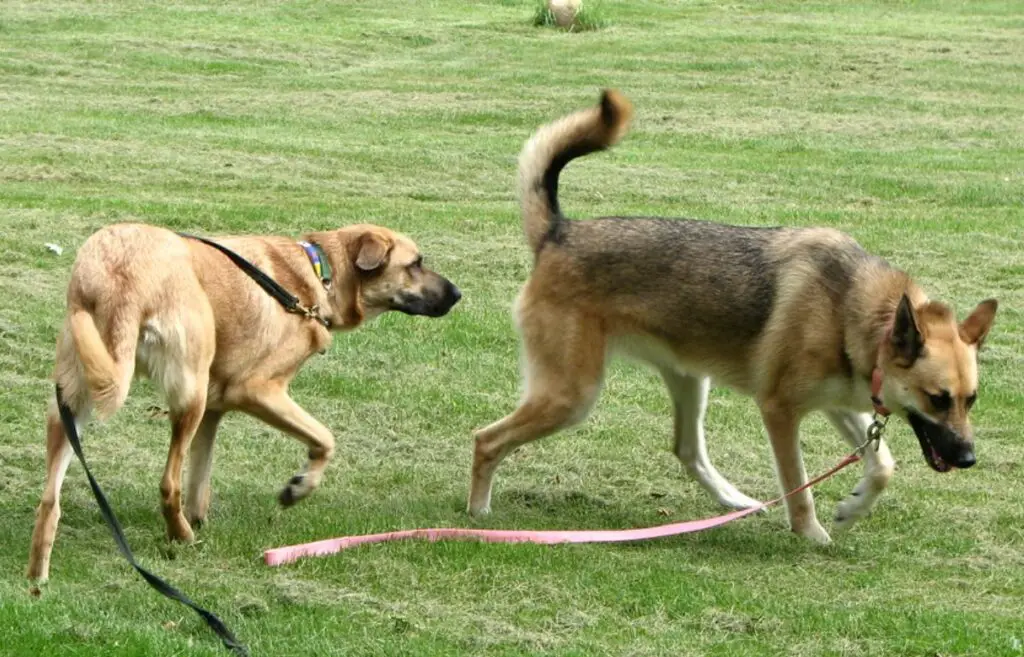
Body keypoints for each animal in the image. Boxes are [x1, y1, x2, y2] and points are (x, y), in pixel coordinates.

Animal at [28, 221, 460, 577]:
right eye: (416, 263)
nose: (458, 294)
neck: (319, 274)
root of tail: (120, 274)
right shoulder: (256, 390)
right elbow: (325, 439)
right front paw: (298, 487)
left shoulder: (214, 409)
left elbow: (201, 478)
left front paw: (201, 515)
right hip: (188, 393)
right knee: (168, 484)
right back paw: (182, 537)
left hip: (72, 403)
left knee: (50, 500)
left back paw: (39, 577)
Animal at [471, 91, 999, 540]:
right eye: (937, 399)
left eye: (970, 399)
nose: (969, 459)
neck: (852, 307)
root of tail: (557, 232)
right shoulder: (780, 410)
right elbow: (799, 485)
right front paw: (811, 534)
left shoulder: (840, 402)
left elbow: (882, 464)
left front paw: (852, 507)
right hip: (571, 396)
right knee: (485, 439)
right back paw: (477, 512)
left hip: (689, 380)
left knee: (687, 451)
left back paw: (733, 500)